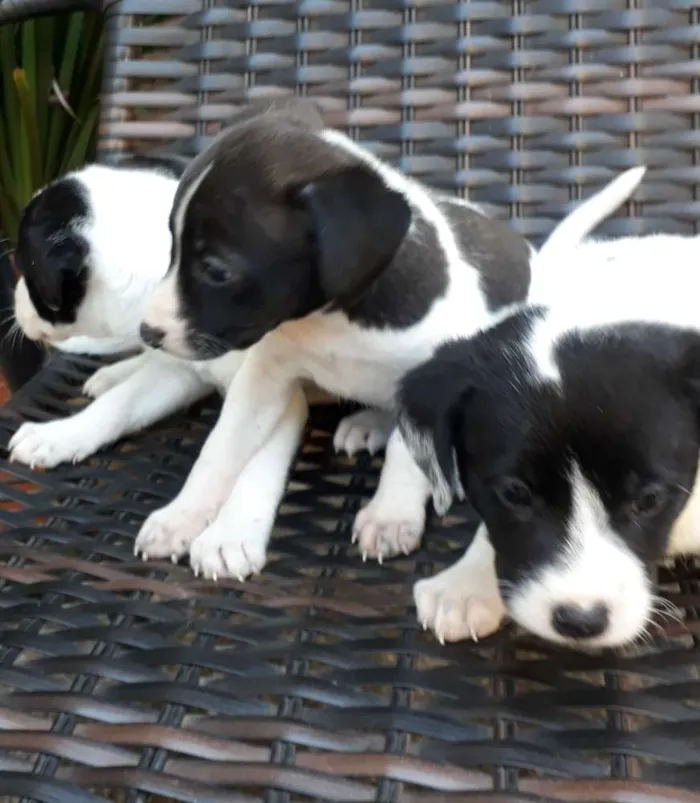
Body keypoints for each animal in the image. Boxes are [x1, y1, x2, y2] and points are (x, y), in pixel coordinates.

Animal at [8, 154, 394, 576]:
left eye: (25, 272)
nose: (14, 301)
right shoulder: (176, 372)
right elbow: (117, 407)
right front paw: (60, 435)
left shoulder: (277, 396)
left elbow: (254, 466)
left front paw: (230, 535)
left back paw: (370, 423)